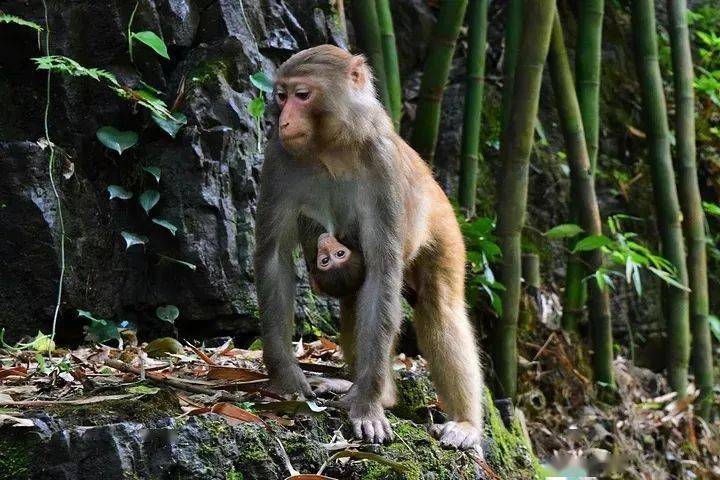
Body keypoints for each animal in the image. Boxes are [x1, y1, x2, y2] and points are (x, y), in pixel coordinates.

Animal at [253, 46, 484, 450]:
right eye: (281, 96)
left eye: (302, 95)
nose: (284, 120)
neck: (331, 146)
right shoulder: (279, 157)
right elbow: (274, 259)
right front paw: (287, 378)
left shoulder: (382, 163)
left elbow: (382, 272)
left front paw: (368, 406)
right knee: (353, 299)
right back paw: (372, 390)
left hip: (446, 229)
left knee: (438, 306)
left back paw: (463, 422)